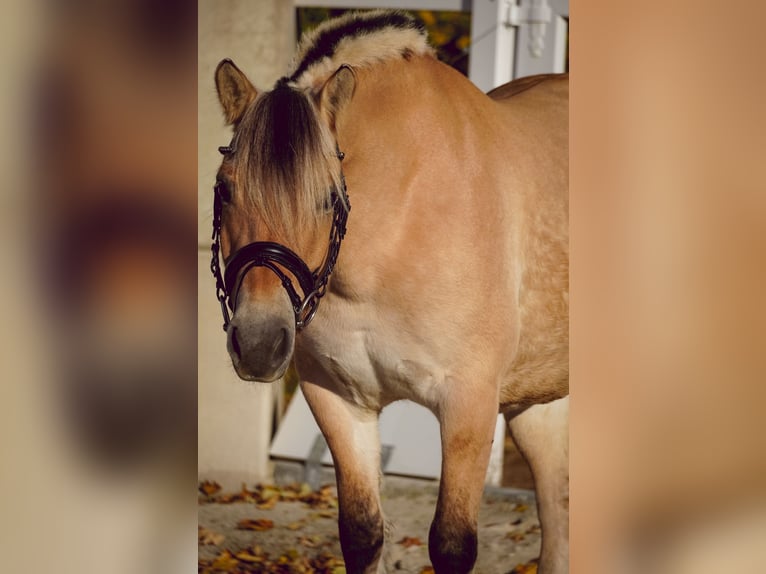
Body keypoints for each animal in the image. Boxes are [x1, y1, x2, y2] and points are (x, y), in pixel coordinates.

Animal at [210, 10, 568, 574]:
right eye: (225, 190)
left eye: (328, 198)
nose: (260, 342)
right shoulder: (338, 399)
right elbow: (361, 530)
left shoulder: (469, 404)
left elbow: (451, 544)